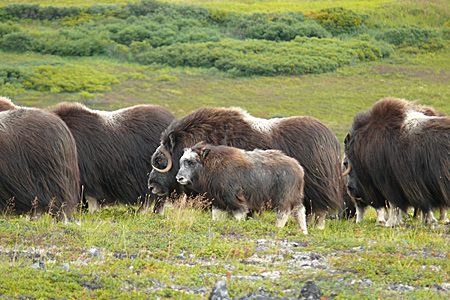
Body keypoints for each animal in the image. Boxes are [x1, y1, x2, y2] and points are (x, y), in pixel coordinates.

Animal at [174, 142, 308, 234]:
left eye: (191, 162)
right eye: (181, 162)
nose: (179, 178)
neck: (211, 165)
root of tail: (298, 168)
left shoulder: (235, 200)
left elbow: (239, 215)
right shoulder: (218, 202)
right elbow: (216, 217)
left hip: (283, 197)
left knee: (283, 213)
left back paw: (277, 228)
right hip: (296, 197)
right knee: (300, 212)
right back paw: (304, 232)